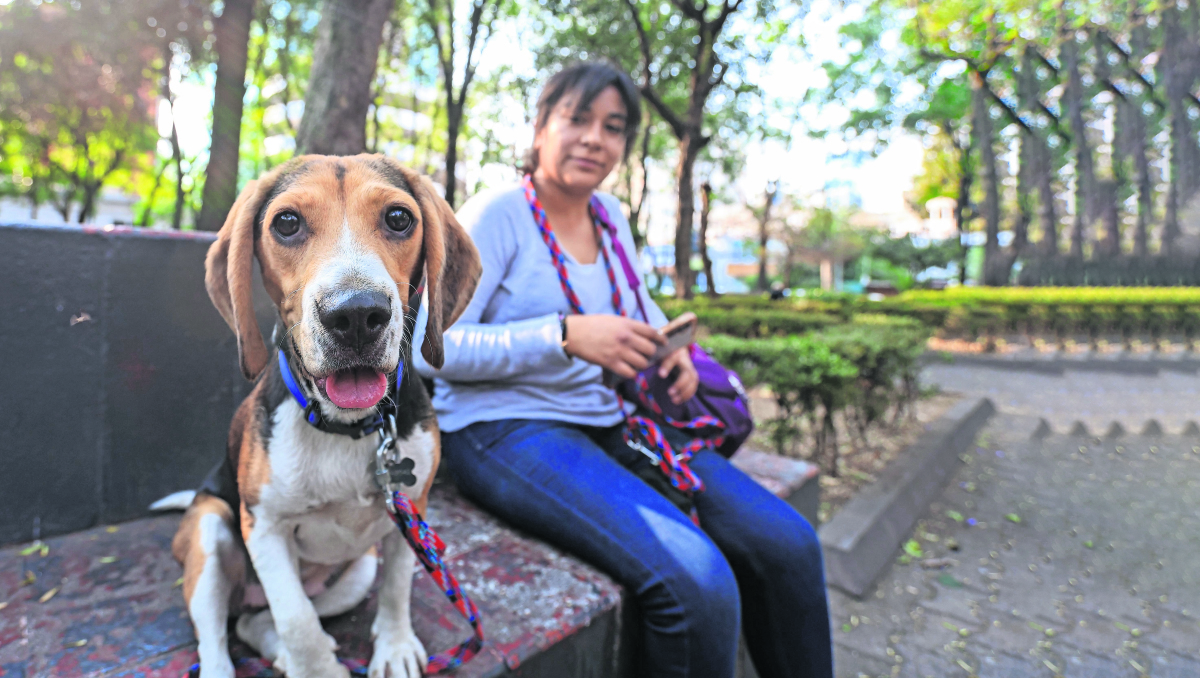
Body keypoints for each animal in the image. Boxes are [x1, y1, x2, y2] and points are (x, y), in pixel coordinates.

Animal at [172, 156, 477, 676]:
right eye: (286, 223)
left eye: (399, 218)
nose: (355, 315)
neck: (346, 428)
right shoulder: (265, 528)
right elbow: (296, 619)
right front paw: (316, 668)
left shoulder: (411, 509)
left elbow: (398, 586)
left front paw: (395, 647)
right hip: (211, 531)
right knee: (220, 634)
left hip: (358, 570)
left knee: (254, 622)